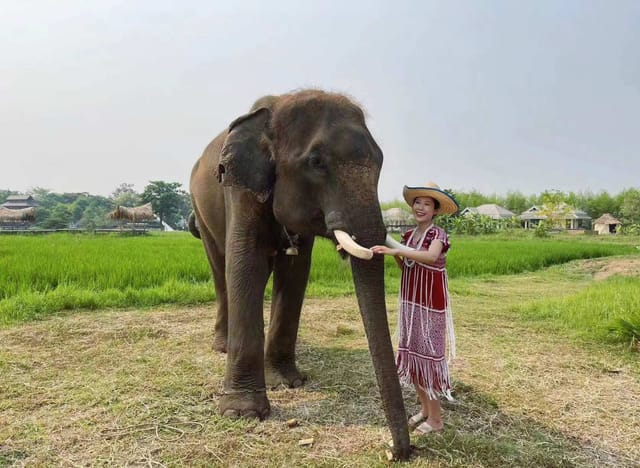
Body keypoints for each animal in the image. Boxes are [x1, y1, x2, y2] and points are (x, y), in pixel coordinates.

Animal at [189, 89, 410, 458]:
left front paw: (288, 382)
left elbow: (295, 272)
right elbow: (244, 263)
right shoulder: (239, 189)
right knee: (220, 269)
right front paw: (242, 413)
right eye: (316, 162)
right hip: (200, 209)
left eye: (380, 161)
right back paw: (221, 345)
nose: (399, 452)